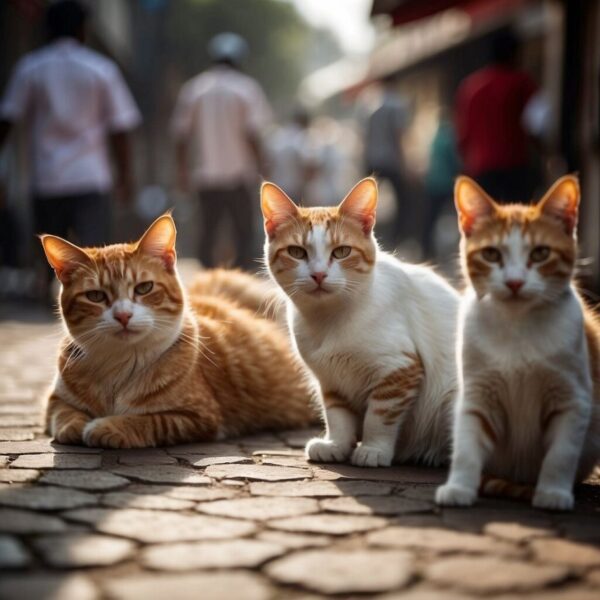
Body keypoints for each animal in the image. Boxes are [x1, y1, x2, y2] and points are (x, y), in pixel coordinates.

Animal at [39, 213, 316, 448]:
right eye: (95, 296)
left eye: (144, 288)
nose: (123, 315)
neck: (119, 364)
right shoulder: (55, 401)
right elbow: (65, 416)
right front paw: (77, 425)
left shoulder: (198, 417)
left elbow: (145, 420)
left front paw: (106, 426)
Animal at [260, 178, 458, 468]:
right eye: (296, 252)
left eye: (342, 251)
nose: (318, 274)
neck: (329, 320)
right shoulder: (330, 380)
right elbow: (337, 416)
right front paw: (336, 445)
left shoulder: (399, 369)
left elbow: (379, 417)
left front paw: (373, 449)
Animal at [436, 175, 600, 510]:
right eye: (491, 254)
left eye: (540, 253)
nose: (514, 282)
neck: (517, 327)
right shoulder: (477, 393)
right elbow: (467, 446)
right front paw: (458, 487)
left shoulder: (572, 397)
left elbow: (561, 454)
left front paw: (553, 493)